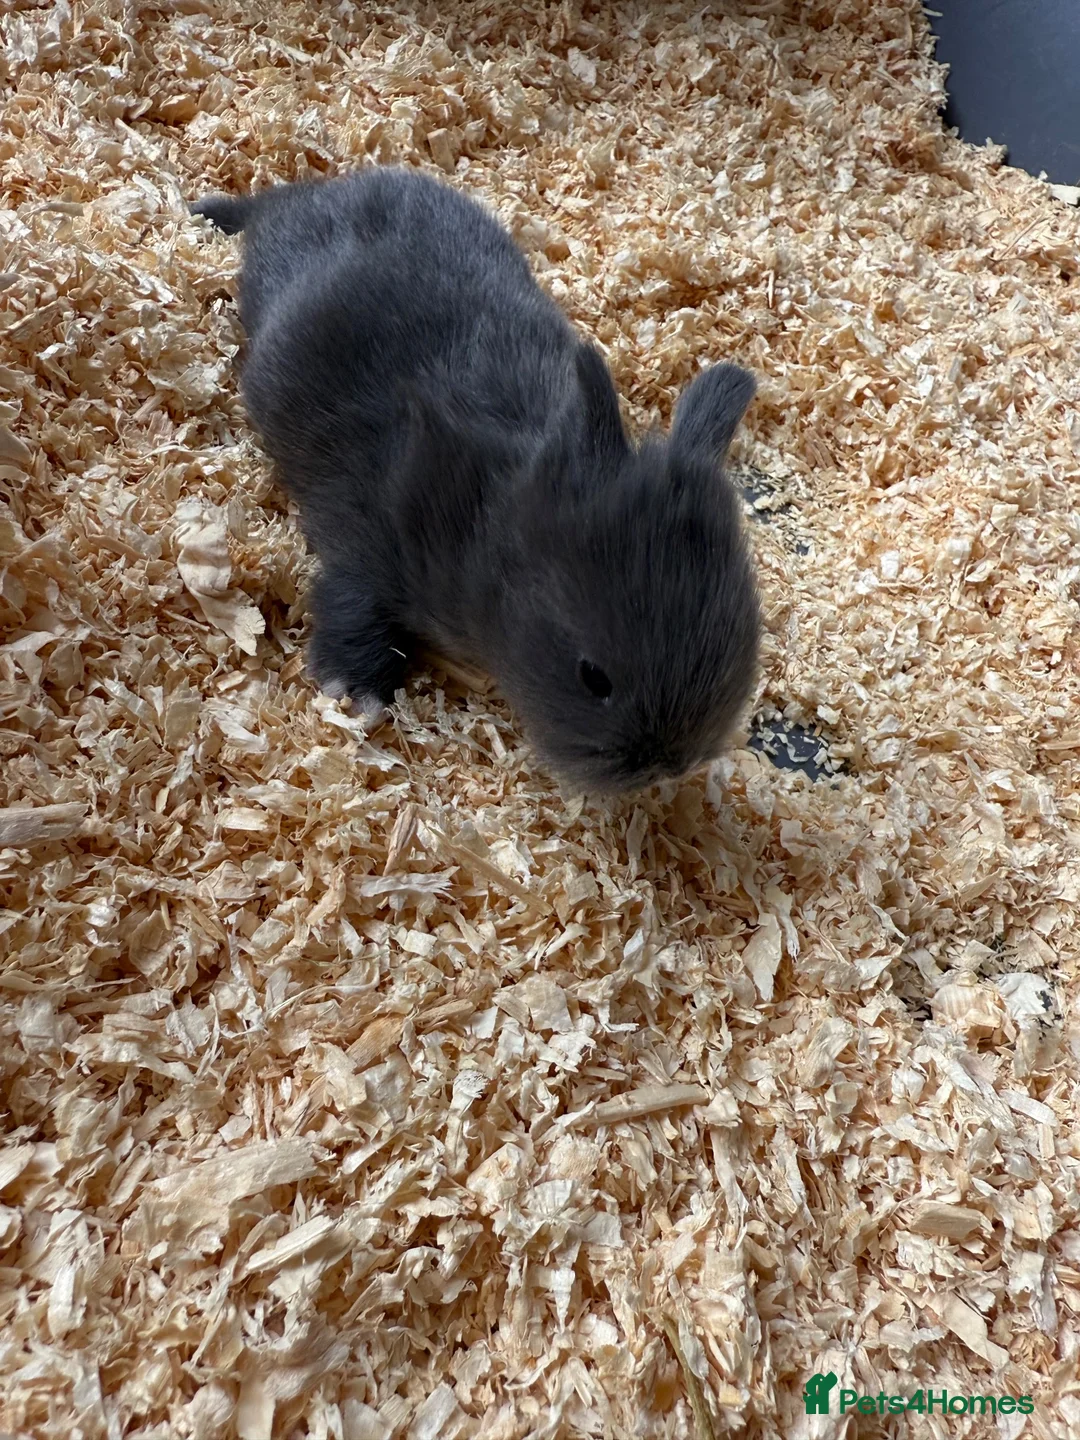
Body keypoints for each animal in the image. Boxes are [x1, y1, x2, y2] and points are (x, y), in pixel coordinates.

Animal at [191, 165, 761, 794]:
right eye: (593, 677)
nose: (670, 765)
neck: (484, 524)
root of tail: (305, 196)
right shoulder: (368, 548)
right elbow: (351, 605)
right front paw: (356, 697)